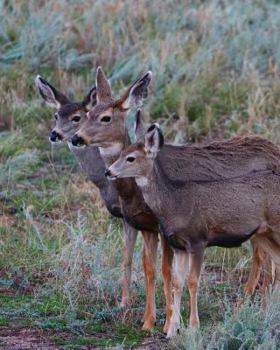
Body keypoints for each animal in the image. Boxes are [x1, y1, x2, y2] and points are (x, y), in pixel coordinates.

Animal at [70, 67, 173, 332]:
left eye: (106, 118)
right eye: (87, 114)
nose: (76, 138)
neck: (134, 193)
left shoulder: (161, 226)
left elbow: (165, 269)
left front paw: (164, 322)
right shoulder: (141, 224)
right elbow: (144, 265)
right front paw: (140, 314)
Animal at [105, 114, 280, 336]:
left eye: (131, 158)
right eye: (121, 153)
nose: (108, 171)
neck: (174, 203)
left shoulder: (198, 240)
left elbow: (193, 280)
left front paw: (193, 326)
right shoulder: (178, 245)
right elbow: (177, 282)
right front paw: (172, 329)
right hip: (264, 234)